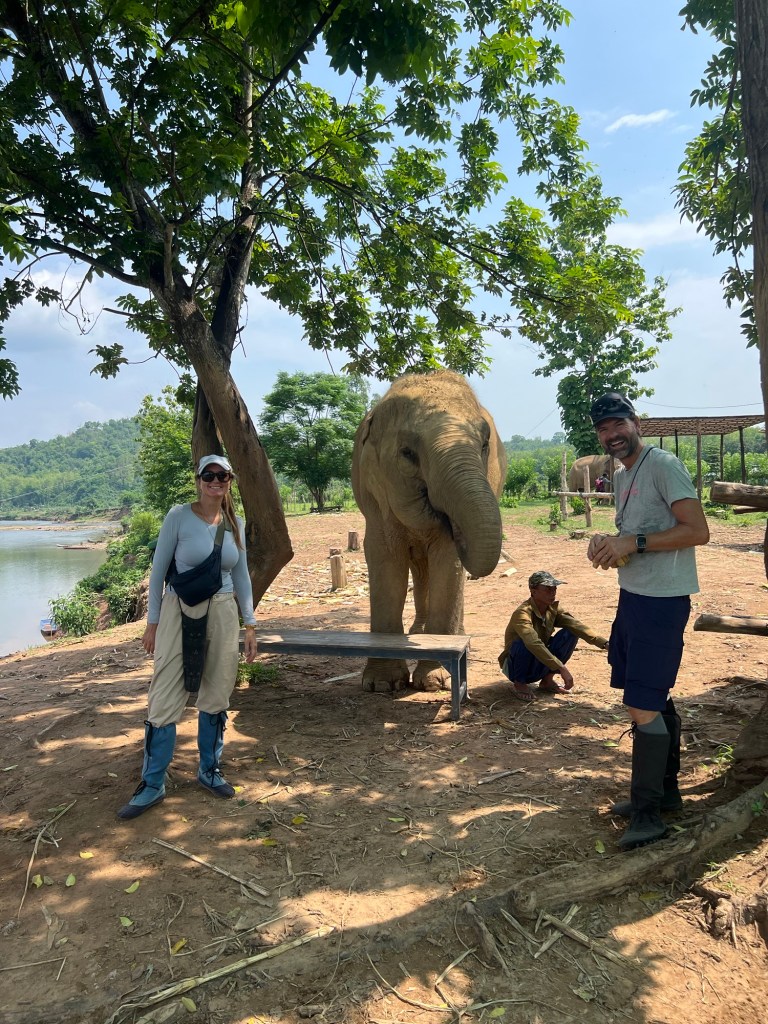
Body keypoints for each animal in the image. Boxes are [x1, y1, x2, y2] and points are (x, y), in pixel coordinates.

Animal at [351, 370, 507, 693]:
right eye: (407, 453)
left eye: (484, 445)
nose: (454, 525)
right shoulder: (376, 498)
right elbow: (385, 559)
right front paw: (382, 684)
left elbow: (447, 563)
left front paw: (436, 682)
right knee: (419, 567)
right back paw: (418, 632)